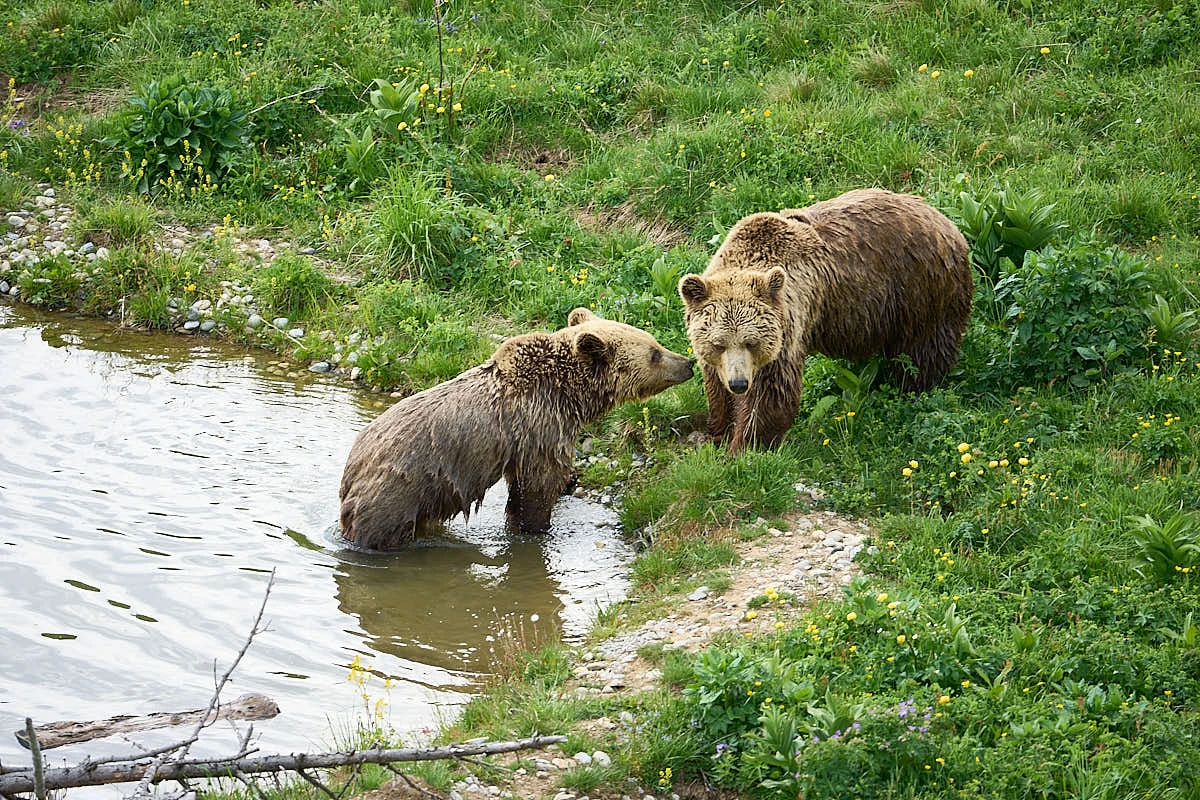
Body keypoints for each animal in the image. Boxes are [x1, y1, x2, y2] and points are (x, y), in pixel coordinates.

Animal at [338, 307, 694, 550]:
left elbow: (521, 492)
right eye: (654, 353)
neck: (569, 395)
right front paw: (540, 526)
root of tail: (353, 463)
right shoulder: (540, 426)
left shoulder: (524, 442)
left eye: (656, 343)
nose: (687, 362)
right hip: (400, 489)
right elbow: (540, 485)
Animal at [679, 188, 972, 453]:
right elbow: (717, 387)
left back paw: (912, 390)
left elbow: (771, 395)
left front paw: (745, 447)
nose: (739, 383)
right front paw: (718, 432)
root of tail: (947, 222)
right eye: (718, 343)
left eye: (751, 342)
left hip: (920, 291)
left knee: (923, 352)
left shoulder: (788, 329)